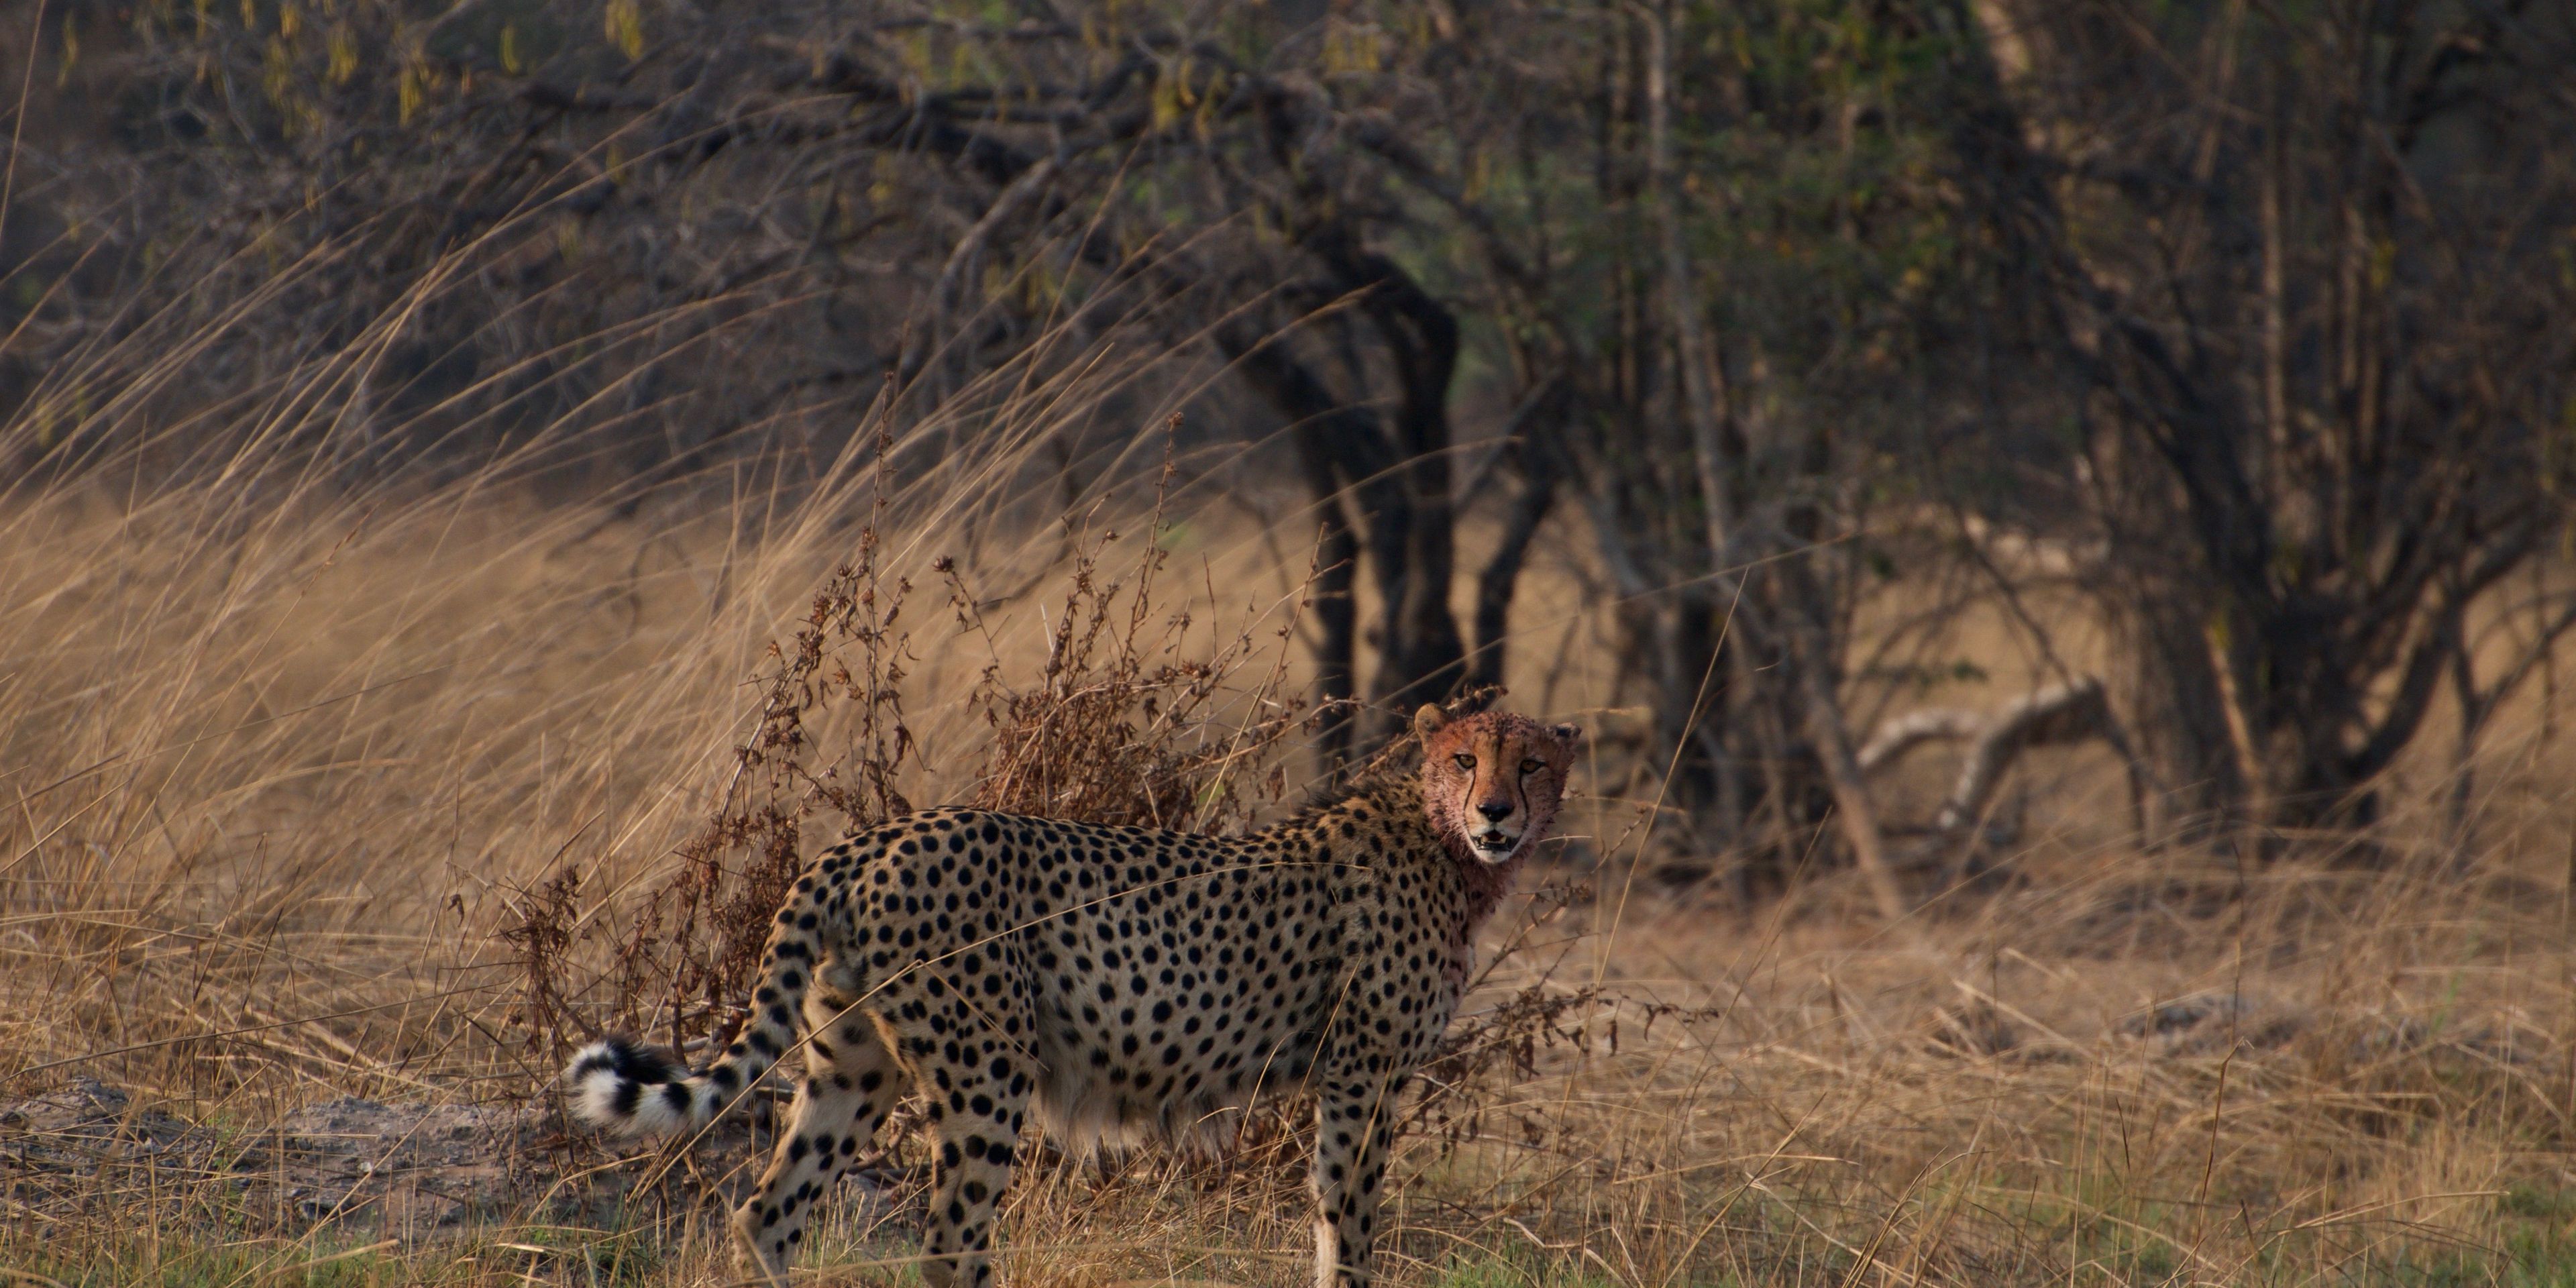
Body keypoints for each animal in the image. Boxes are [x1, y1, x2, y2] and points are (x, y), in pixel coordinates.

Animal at [562, 704, 1581, 1288]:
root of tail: (869, 838)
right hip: (986, 1071)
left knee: (769, 1214)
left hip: (854, 1068)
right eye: (1464, 760)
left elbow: (1337, 1218)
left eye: (1529, 763)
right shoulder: (1363, 1074)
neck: (1446, 843)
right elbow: (1351, 1220)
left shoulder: (1352, 1076)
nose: (1497, 811)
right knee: (950, 1240)